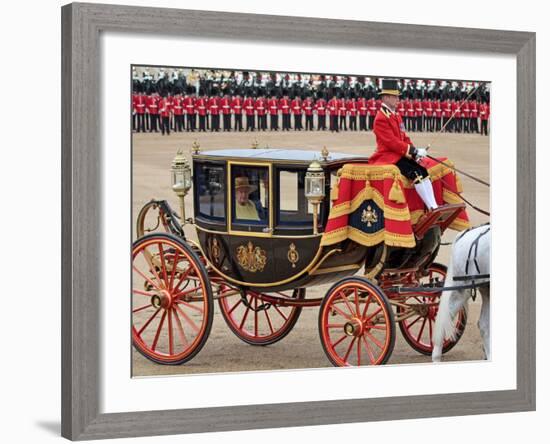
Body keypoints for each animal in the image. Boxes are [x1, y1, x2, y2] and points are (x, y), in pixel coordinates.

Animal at [434, 224, 494, 362]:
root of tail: (463, 234)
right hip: (461, 290)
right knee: (445, 319)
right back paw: (436, 357)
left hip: (486, 287)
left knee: (484, 325)